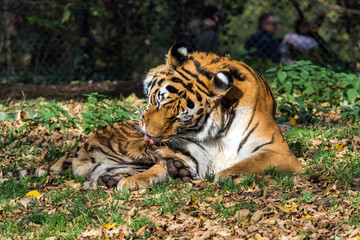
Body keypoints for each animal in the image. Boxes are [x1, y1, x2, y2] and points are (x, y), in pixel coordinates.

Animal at [6, 42, 304, 189]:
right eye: (158, 100)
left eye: (181, 117)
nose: (151, 134)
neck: (217, 131)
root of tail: (80, 145)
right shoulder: (191, 151)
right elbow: (157, 169)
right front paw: (140, 181)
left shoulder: (278, 151)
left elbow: (244, 164)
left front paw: (224, 174)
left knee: (97, 174)